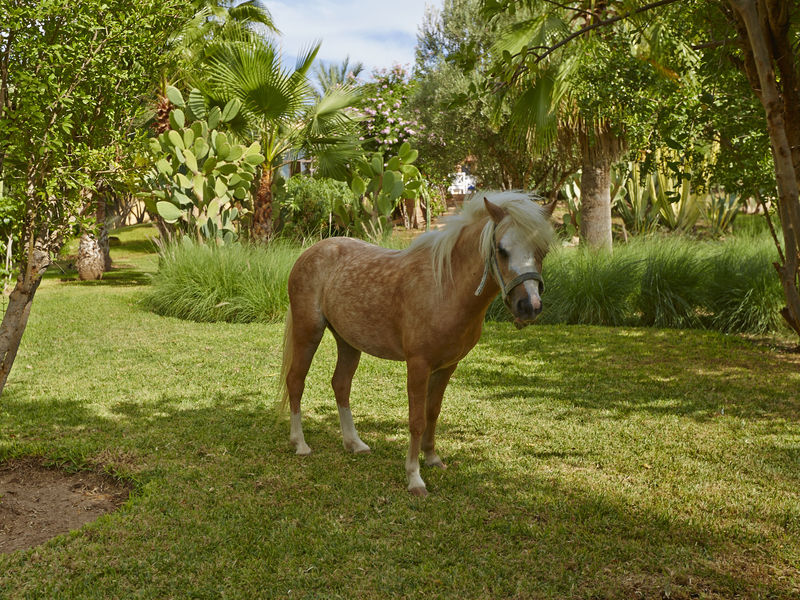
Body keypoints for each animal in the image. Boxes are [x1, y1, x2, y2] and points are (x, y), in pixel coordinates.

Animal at [282, 190, 556, 494]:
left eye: (542, 251)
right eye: (501, 249)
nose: (529, 307)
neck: (444, 287)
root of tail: (310, 252)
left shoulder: (447, 366)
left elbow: (432, 413)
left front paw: (432, 458)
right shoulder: (418, 365)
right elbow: (416, 420)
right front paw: (414, 477)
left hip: (348, 342)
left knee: (340, 385)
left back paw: (354, 443)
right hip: (309, 332)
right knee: (296, 381)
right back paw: (300, 444)